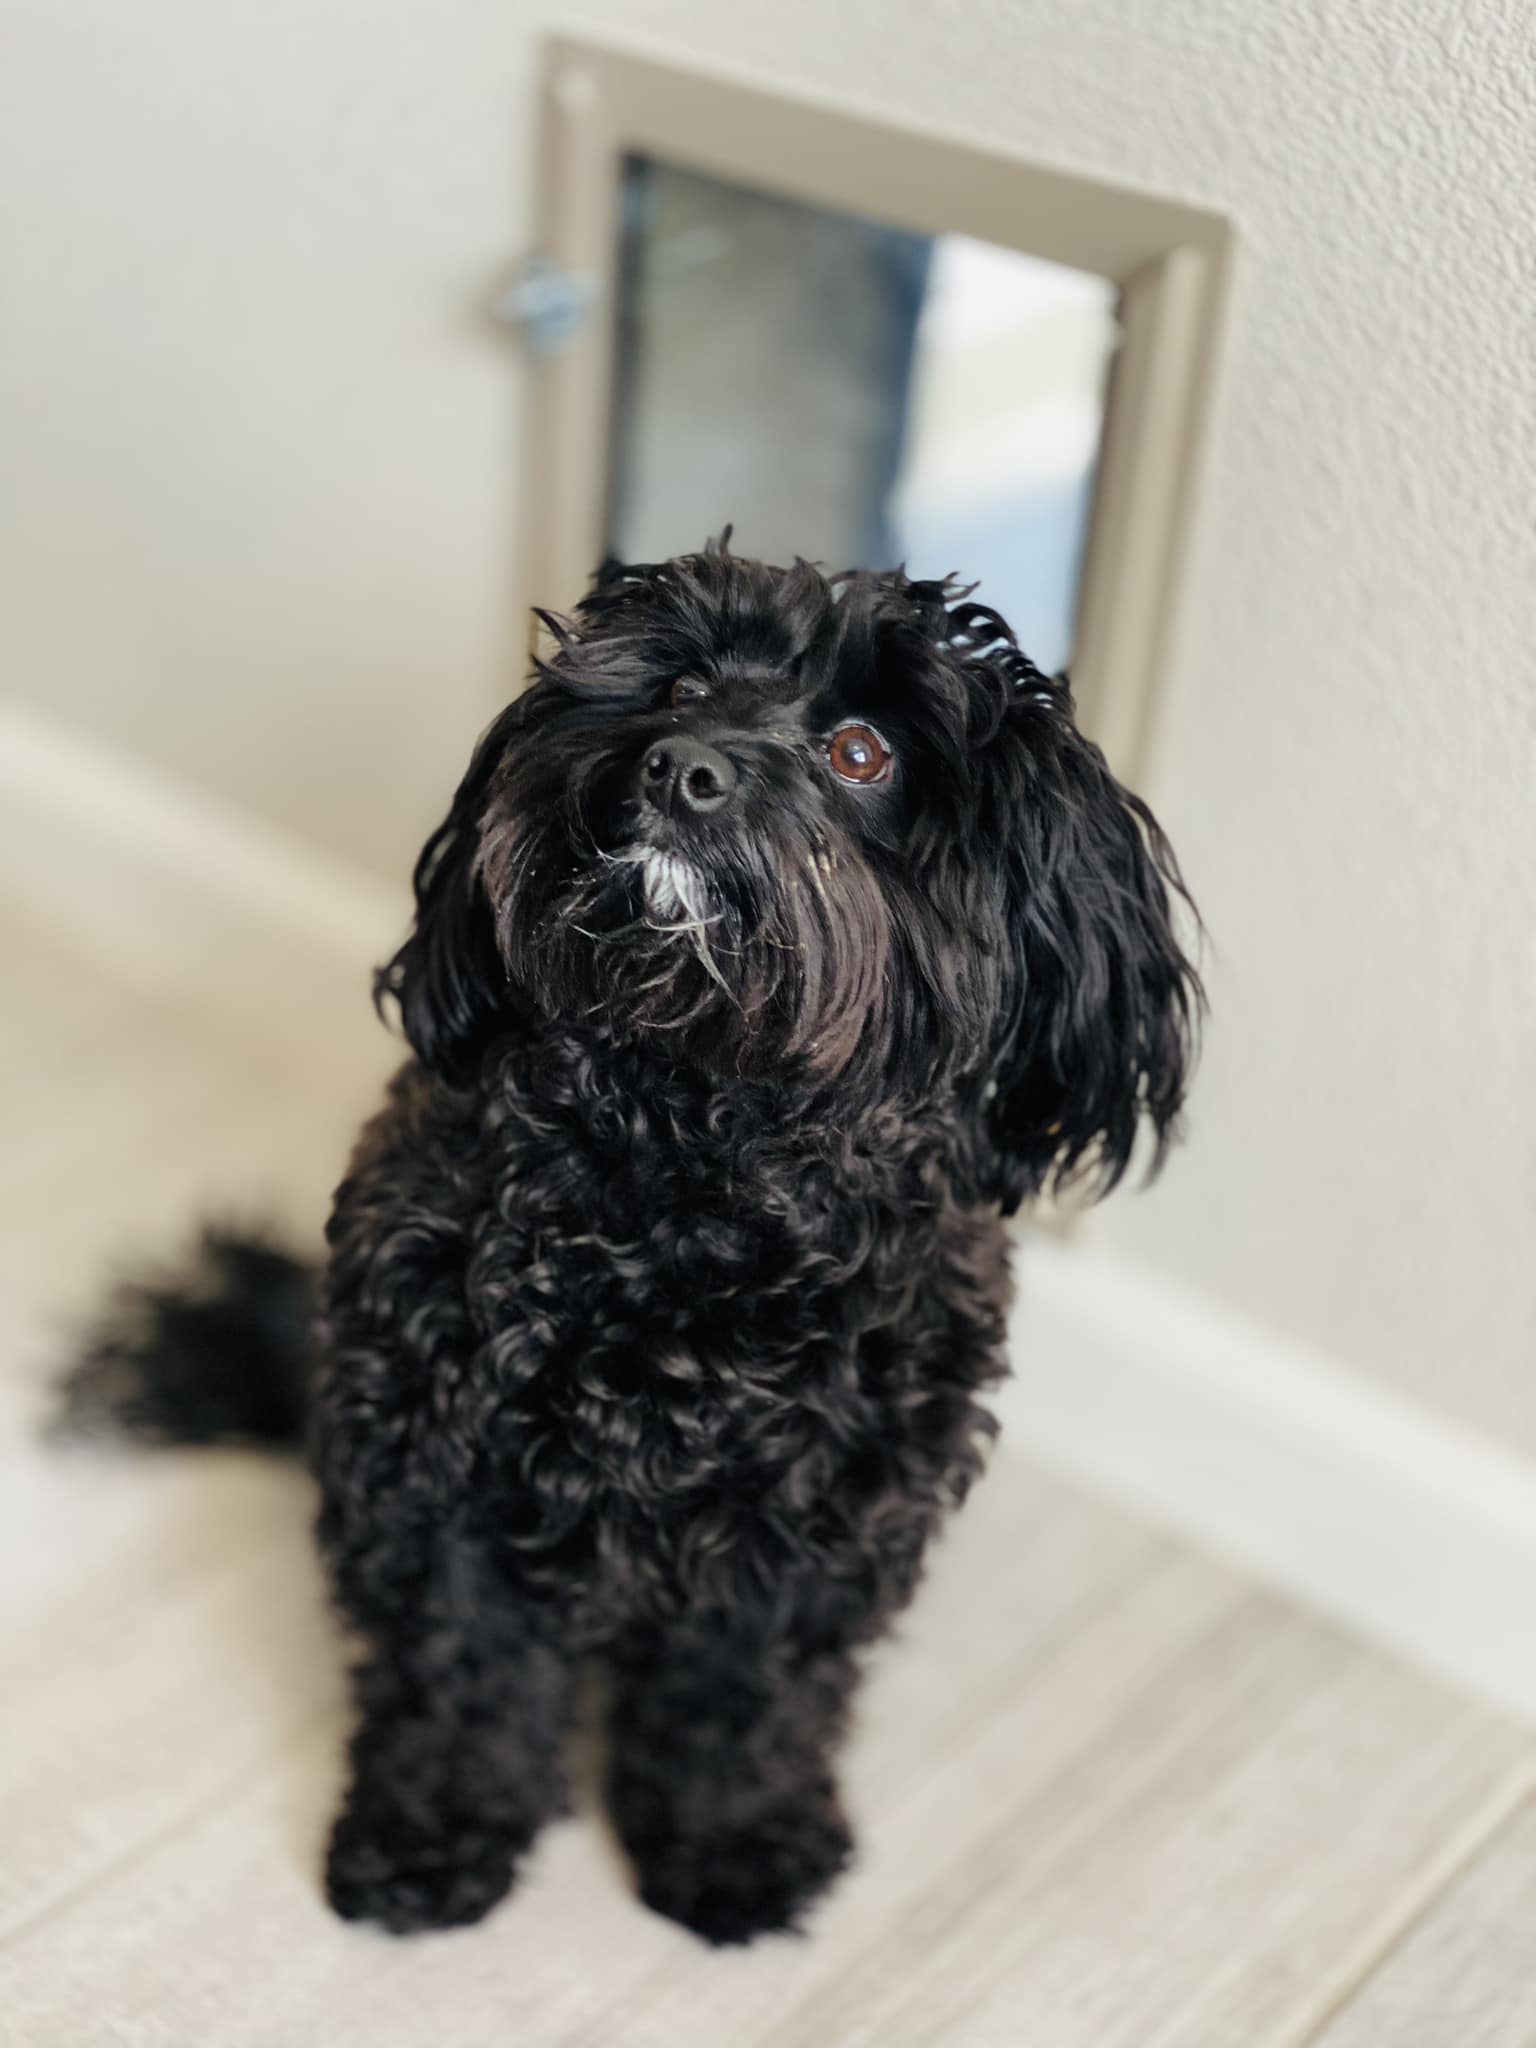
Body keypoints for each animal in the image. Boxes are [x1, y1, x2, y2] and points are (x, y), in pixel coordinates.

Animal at [66, 544, 1204, 1949]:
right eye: (681, 682)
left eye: (863, 749)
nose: (681, 766)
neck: (689, 1179)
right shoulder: (439, 1470)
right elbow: (461, 1674)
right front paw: (431, 1834)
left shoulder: (816, 1528)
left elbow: (744, 1696)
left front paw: (732, 1843)